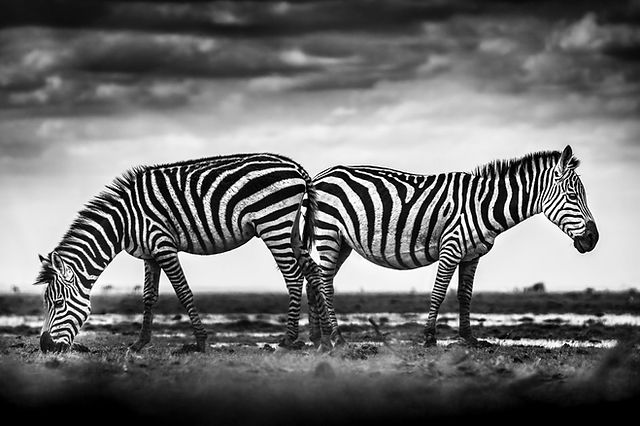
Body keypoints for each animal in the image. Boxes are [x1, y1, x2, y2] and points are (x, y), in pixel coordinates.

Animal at [35, 153, 331, 353]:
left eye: (57, 303)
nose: (46, 346)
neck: (124, 222)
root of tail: (296, 168)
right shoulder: (150, 254)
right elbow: (149, 296)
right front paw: (140, 342)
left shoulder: (163, 245)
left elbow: (183, 291)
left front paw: (200, 342)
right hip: (291, 228)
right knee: (313, 271)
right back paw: (325, 337)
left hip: (273, 224)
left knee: (293, 275)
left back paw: (289, 339)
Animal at [297, 145, 599, 347]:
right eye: (572, 196)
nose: (593, 239)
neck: (483, 206)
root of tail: (318, 177)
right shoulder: (451, 248)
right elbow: (439, 293)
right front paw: (430, 337)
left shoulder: (472, 255)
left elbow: (465, 296)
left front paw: (469, 338)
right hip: (328, 233)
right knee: (324, 284)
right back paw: (337, 338)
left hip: (342, 242)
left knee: (315, 282)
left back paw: (319, 340)